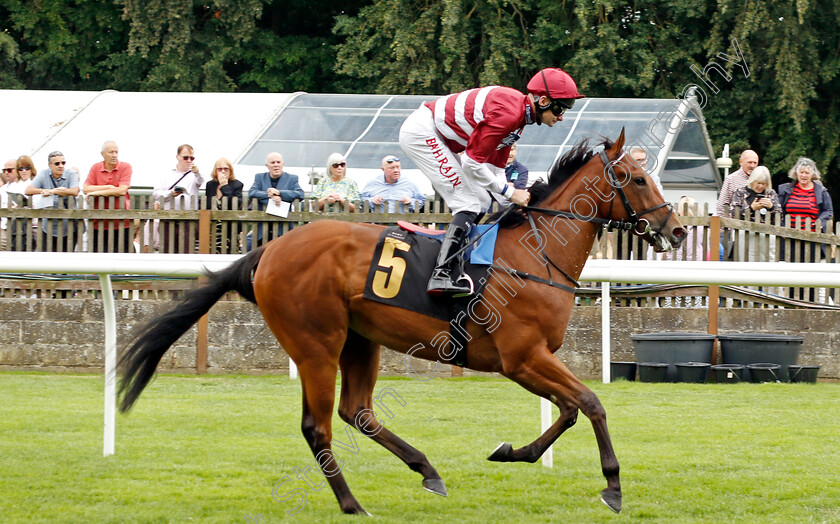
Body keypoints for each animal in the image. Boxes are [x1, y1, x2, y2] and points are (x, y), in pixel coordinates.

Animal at [116, 129, 684, 512]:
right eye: (637, 178)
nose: (677, 230)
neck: (533, 252)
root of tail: (267, 251)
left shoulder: (529, 360)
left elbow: (567, 411)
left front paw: (509, 452)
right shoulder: (521, 358)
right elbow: (590, 403)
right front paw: (613, 486)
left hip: (360, 339)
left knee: (358, 412)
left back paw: (426, 470)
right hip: (316, 344)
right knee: (318, 426)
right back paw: (352, 504)